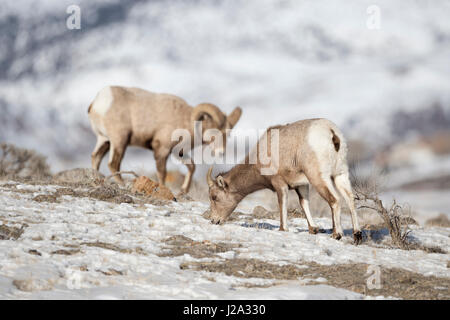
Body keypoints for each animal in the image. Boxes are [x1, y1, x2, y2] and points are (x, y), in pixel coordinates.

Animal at [88, 85, 243, 192]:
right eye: (213, 133)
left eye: (227, 134)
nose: (221, 152)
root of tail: (98, 103)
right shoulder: (162, 150)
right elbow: (162, 173)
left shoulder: (178, 152)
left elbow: (192, 167)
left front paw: (183, 191)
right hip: (119, 141)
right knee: (113, 163)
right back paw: (122, 184)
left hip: (105, 140)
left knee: (96, 157)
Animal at [207, 119, 362, 244]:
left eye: (214, 197)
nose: (214, 221)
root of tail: (332, 133)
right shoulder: (302, 185)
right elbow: (304, 203)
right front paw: (313, 229)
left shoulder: (280, 184)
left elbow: (283, 204)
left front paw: (283, 229)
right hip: (340, 175)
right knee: (350, 199)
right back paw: (357, 235)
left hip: (319, 178)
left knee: (335, 200)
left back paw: (337, 235)